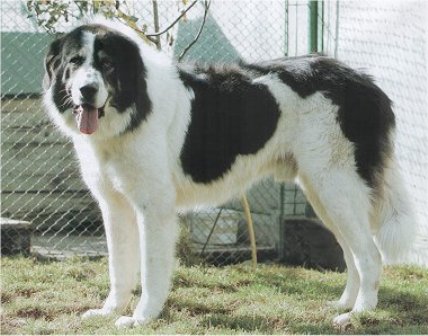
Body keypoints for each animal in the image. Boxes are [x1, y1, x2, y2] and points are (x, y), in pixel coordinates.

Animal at [43, 17, 414, 328]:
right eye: (75, 62)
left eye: (107, 65)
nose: (87, 91)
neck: (133, 103)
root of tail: (365, 82)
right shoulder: (115, 208)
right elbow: (118, 269)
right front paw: (109, 311)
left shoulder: (154, 210)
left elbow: (150, 271)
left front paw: (142, 318)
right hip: (324, 192)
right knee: (352, 253)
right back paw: (344, 304)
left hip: (336, 186)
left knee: (370, 254)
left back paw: (359, 314)